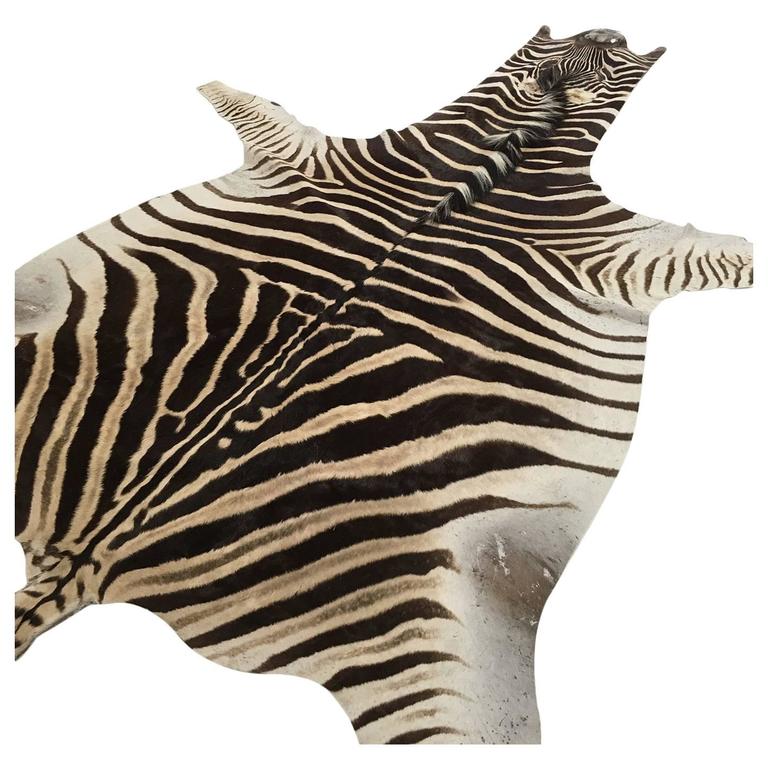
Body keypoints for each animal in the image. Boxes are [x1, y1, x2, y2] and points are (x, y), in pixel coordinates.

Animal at [14, 25, 753, 744]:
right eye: (580, 47)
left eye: (603, 53)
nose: (611, 24)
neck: (520, 141)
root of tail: (90, 558)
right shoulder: (608, 253)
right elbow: (711, 255)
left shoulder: (606, 253)